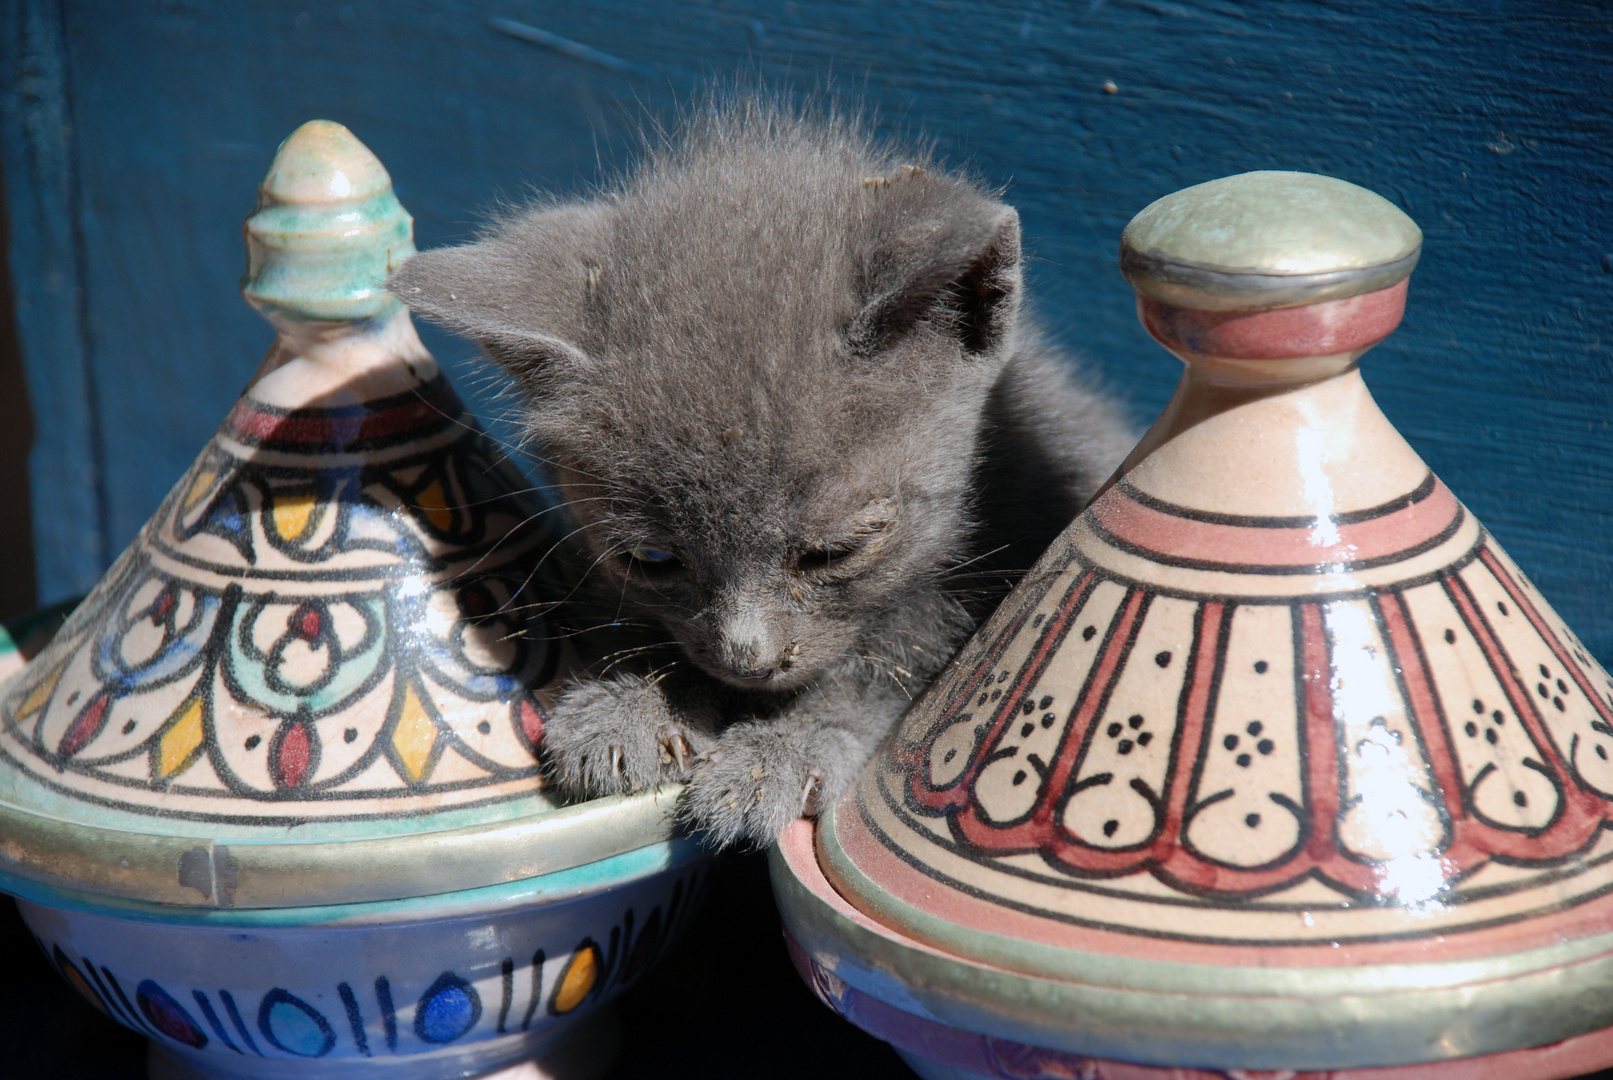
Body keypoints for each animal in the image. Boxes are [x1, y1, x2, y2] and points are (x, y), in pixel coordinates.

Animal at [387, 97, 1135, 851]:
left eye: (833, 552)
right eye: (652, 560)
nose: (748, 659)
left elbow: (885, 680)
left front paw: (778, 755)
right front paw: (632, 704)